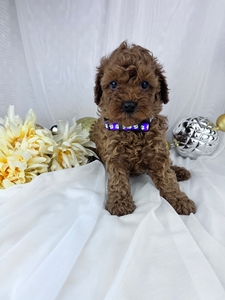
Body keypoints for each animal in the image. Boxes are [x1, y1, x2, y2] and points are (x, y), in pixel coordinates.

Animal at [89, 41, 195, 216]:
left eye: (144, 84)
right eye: (113, 84)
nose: (129, 105)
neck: (133, 129)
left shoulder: (158, 154)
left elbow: (167, 177)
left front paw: (179, 199)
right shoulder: (114, 155)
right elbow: (118, 180)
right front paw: (120, 203)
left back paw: (179, 171)